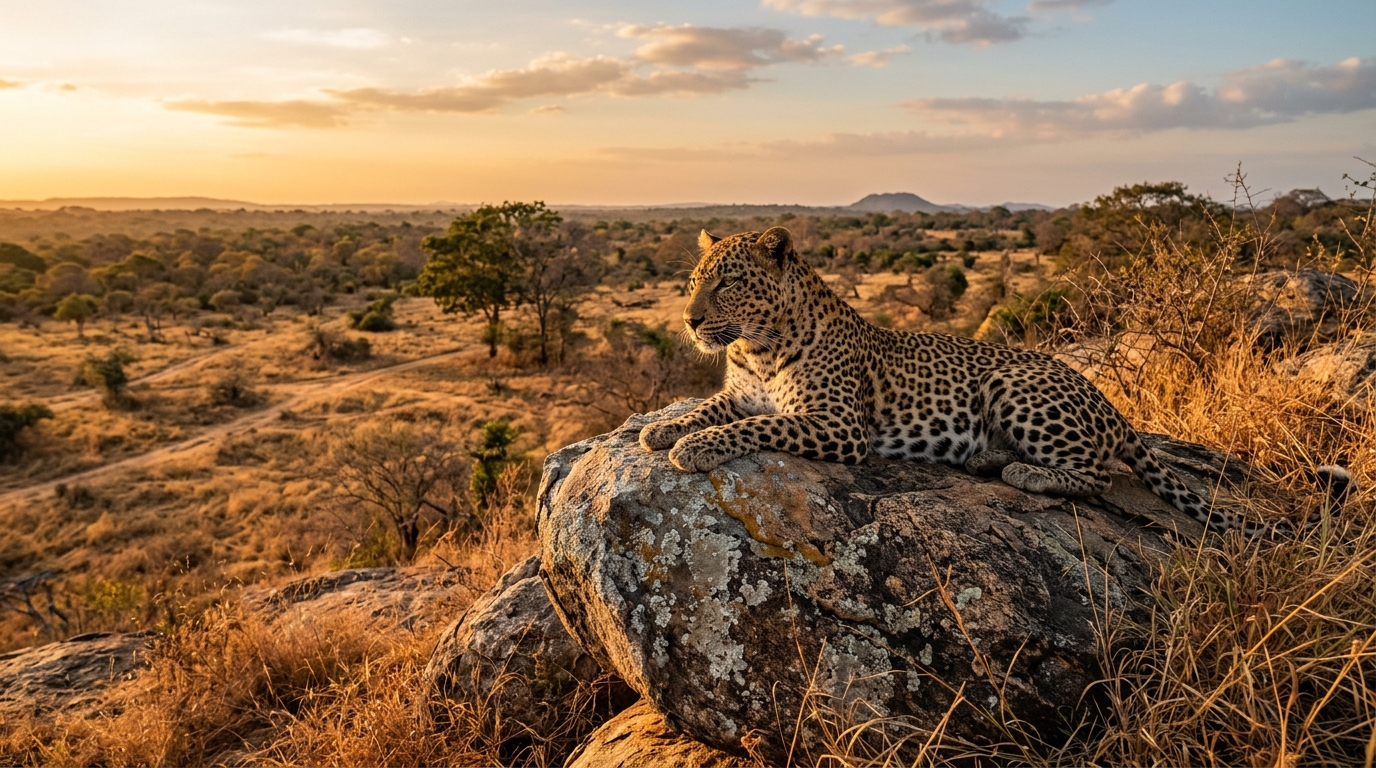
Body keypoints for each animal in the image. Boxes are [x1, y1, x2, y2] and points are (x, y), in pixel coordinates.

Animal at [639, 226, 1353, 534]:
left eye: (729, 282)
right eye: (695, 279)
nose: (689, 319)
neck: (755, 348)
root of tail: (1113, 408)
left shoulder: (837, 426)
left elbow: (759, 426)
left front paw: (691, 448)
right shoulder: (737, 392)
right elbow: (710, 410)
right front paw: (663, 431)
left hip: (1014, 385)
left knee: (1095, 476)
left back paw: (1018, 471)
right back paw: (988, 462)